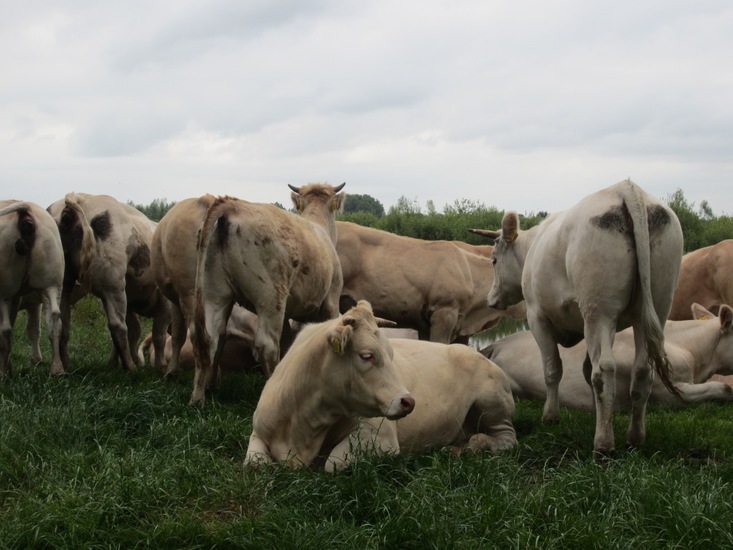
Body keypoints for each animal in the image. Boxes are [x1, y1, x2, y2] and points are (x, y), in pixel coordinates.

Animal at [0, 201, 65, 379]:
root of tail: (26, 212)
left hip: (5, 288)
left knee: (5, 328)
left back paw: (2, 373)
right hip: (51, 282)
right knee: (54, 320)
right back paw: (57, 369)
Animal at [47, 193, 170, 373]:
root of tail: (77, 197)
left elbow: (136, 330)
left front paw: (115, 363)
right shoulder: (165, 302)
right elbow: (158, 335)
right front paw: (161, 367)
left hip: (62, 280)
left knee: (62, 321)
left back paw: (67, 367)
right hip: (112, 283)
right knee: (117, 325)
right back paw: (131, 368)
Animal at [191, 183, 345, 406]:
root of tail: (230, 205)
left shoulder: (289, 311)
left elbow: (289, 341)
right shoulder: (332, 300)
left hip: (213, 291)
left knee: (209, 338)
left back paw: (201, 396)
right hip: (271, 297)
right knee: (267, 346)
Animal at [244, 300, 415, 471]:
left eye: (391, 354)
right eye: (367, 356)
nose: (409, 402)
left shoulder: (382, 437)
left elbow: (331, 463)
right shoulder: (258, 431)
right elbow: (254, 463)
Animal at [470, 179, 683, 453]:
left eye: (494, 260)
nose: (491, 299)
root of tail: (627, 189)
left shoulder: (537, 317)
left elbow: (553, 368)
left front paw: (551, 416)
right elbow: (585, 369)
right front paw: (596, 414)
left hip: (598, 310)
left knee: (604, 370)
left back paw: (603, 444)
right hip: (654, 307)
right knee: (642, 371)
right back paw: (634, 437)